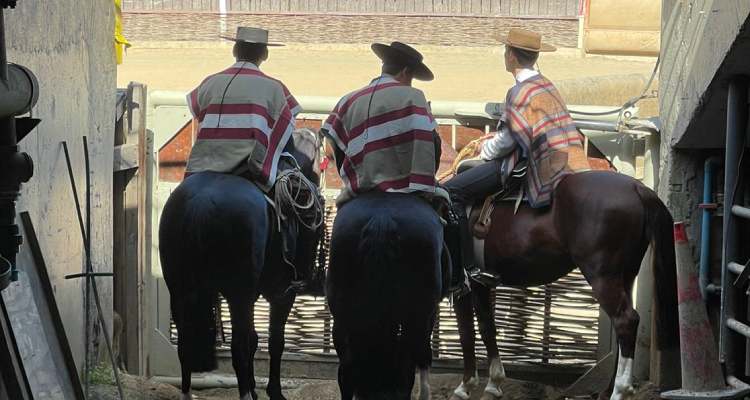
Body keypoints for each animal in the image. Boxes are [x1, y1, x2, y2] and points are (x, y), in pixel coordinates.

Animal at [160, 129, 322, 400]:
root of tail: (199, 203)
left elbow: (255, 339)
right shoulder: (280, 295)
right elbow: (274, 341)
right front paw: (273, 391)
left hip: (179, 290)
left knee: (185, 345)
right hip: (238, 295)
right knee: (238, 347)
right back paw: (245, 392)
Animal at [328, 192, 446, 398]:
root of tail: (382, 218)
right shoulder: (429, 314)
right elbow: (423, 357)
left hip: (342, 318)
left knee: (347, 370)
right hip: (418, 316)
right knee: (410, 362)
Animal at [446, 170, 680, 400]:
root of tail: (636, 187)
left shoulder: (462, 287)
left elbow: (466, 332)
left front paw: (466, 386)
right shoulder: (479, 285)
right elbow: (487, 327)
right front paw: (493, 384)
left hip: (602, 276)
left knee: (626, 320)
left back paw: (620, 390)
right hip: (626, 275)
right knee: (622, 326)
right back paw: (608, 390)